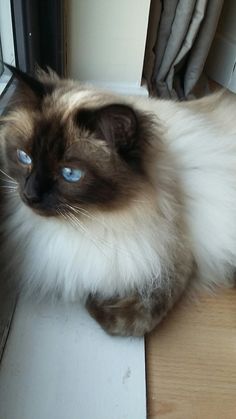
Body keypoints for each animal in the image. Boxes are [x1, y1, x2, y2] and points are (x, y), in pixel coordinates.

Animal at [0, 63, 235, 338]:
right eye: (24, 157)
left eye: (70, 174)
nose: (30, 195)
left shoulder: (176, 258)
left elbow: (132, 318)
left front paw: (96, 302)